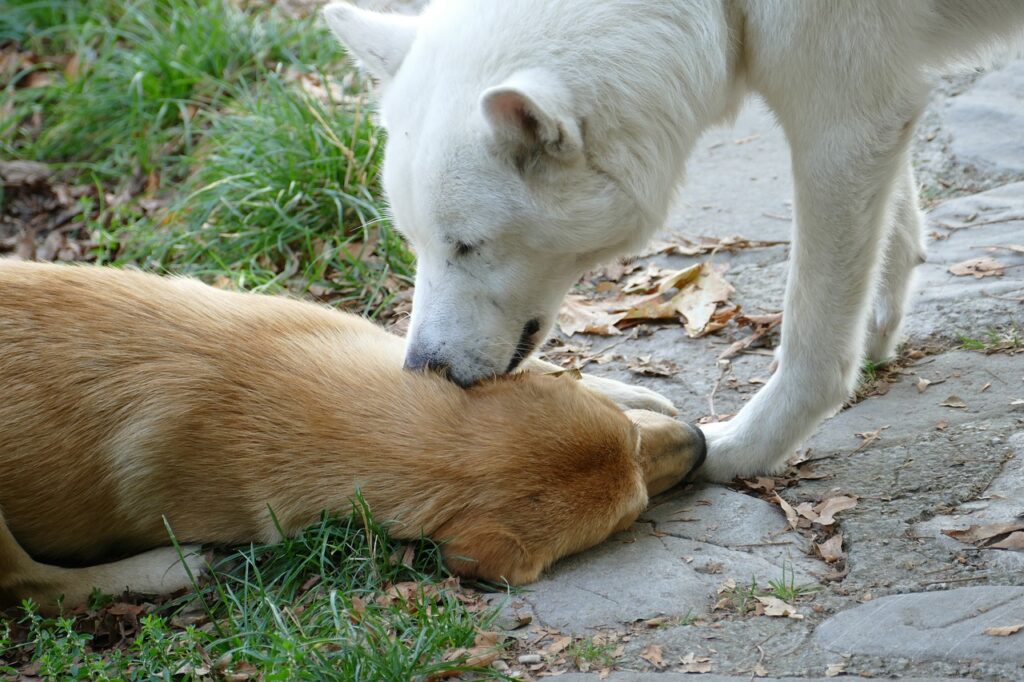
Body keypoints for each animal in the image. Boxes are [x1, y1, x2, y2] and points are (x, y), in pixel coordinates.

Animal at [0, 261, 704, 610]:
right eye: (633, 510)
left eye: (630, 439)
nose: (699, 441)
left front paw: (629, 387)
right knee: (33, 587)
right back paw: (171, 568)